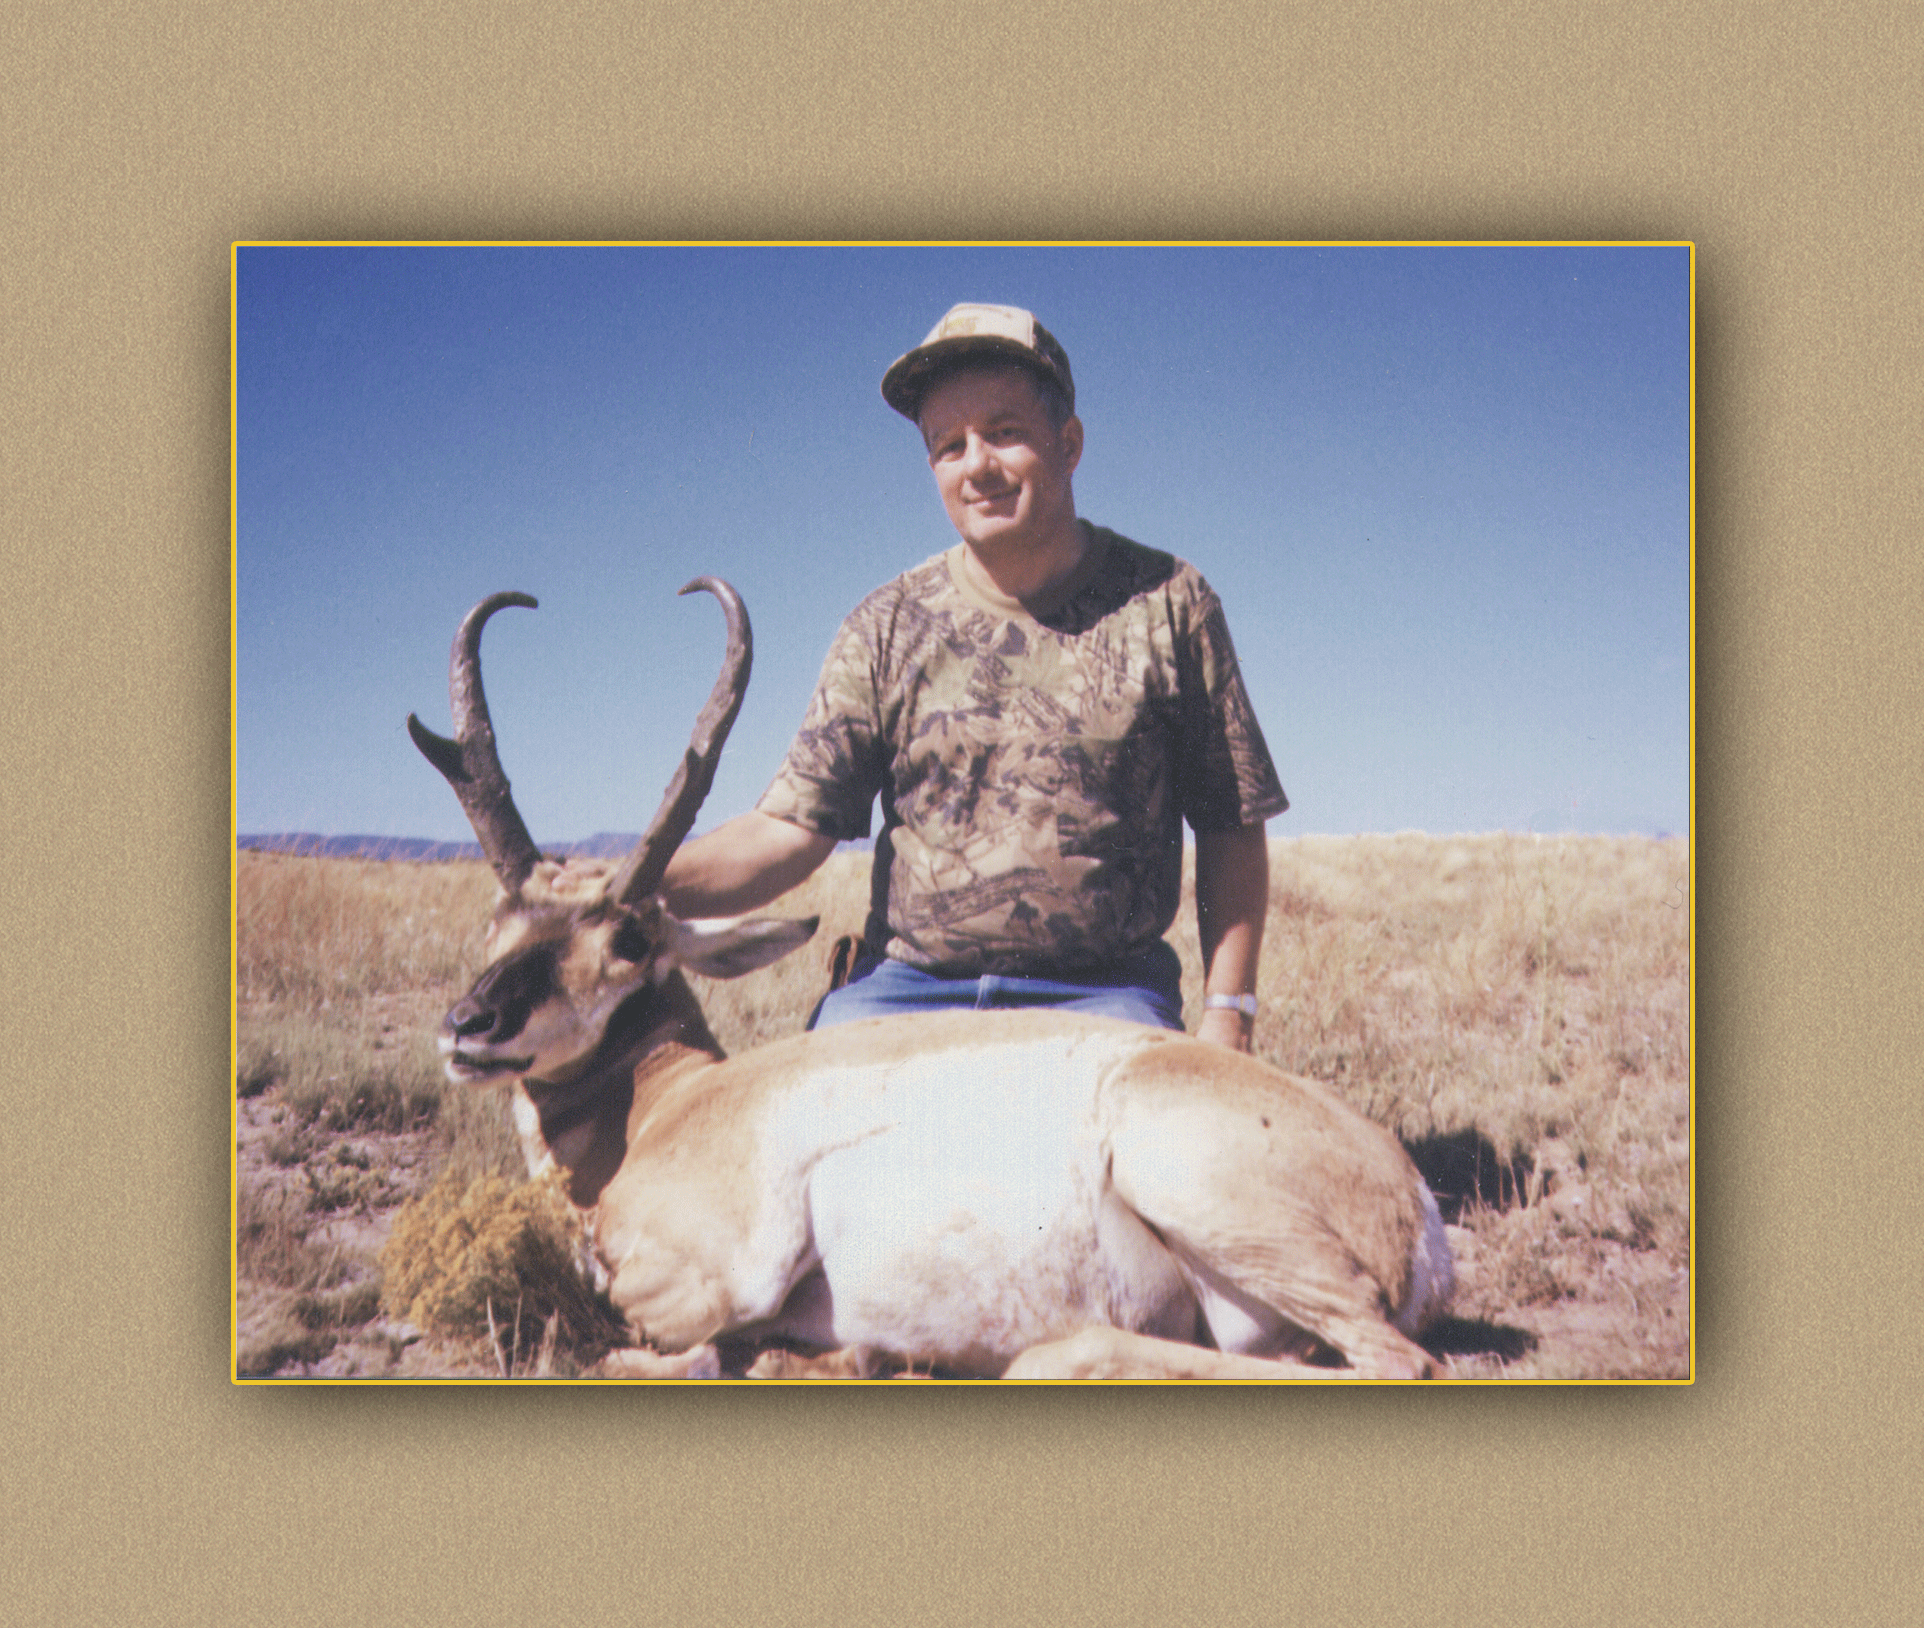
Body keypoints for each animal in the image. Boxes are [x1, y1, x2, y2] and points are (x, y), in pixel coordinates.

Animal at [407, 580, 1455, 1380]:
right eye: (501, 916)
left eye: (627, 937)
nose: (470, 1026)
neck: (674, 1103)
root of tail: (1409, 1193)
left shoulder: (704, 1287)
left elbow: (664, 1346)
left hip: (1198, 1190)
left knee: (1401, 1365)